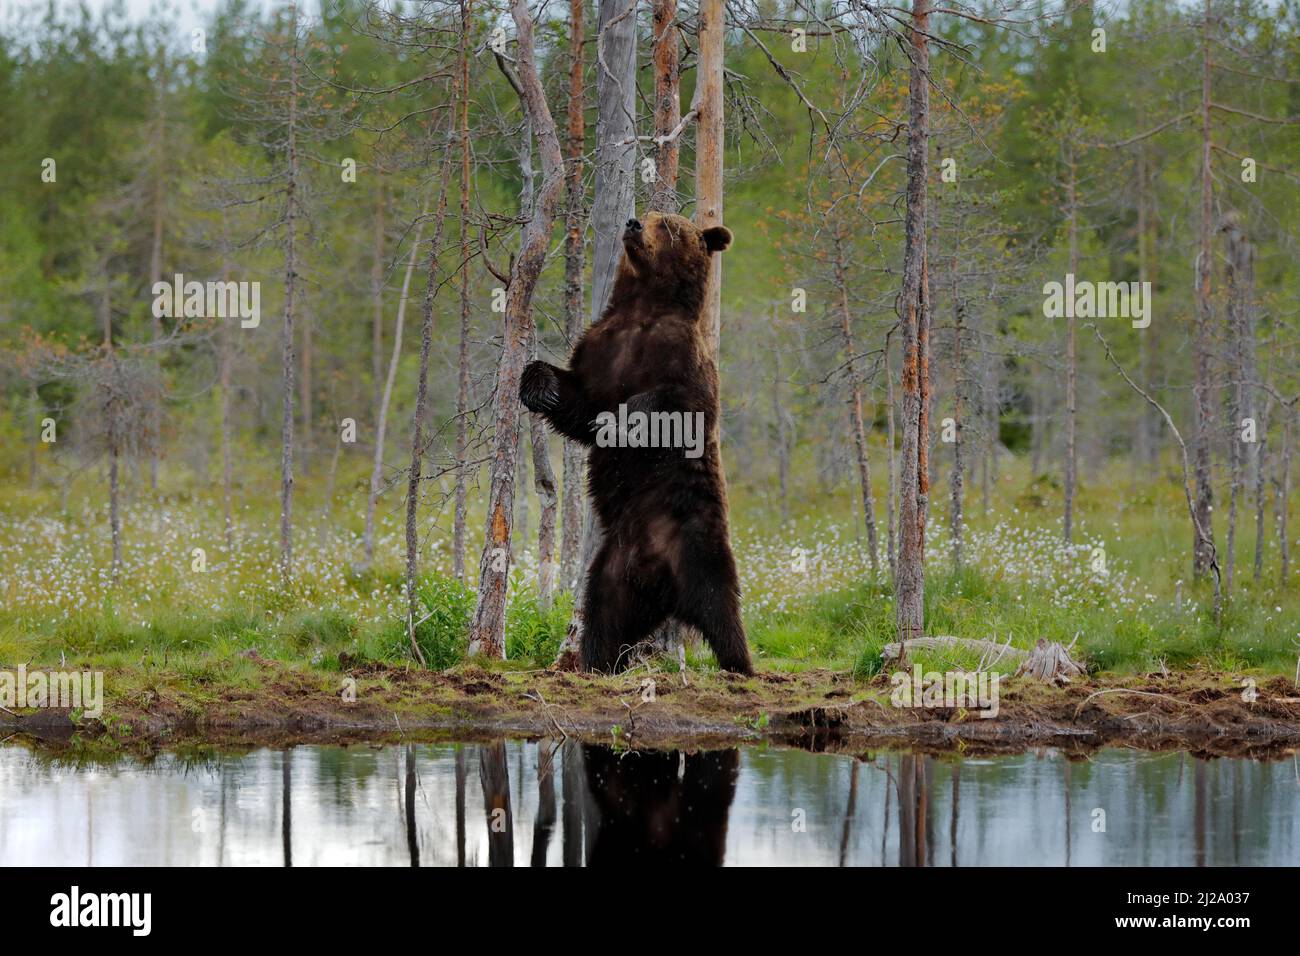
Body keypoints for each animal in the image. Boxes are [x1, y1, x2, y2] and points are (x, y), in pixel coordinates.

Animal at [520, 211, 753, 675]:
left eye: (668, 226)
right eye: (648, 215)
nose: (632, 223)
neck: (643, 307)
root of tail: (661, 584)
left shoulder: (684, 359)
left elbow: (673, 404)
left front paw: (621, 421)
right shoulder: (600, 350)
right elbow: (577, 402)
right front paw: (539, 387)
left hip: (700, 547)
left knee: (722, 611)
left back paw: (741, 666)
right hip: (612, 573)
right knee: (603, 620)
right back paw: (595, 663)